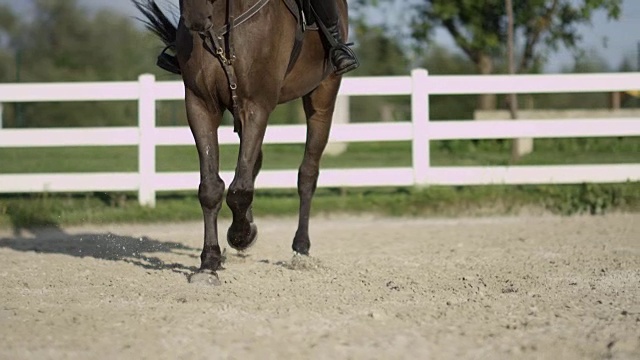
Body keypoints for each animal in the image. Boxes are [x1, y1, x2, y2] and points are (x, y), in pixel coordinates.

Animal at [132, 0, 348, 284]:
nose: (196, 19)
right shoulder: (201, 105)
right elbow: (211, 188)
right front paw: (209, 262)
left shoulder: (255, 106)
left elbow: (239, 190)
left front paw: (240, 235)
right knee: (254, 165)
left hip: (322, 96)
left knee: (307, 174)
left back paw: (300, 248)